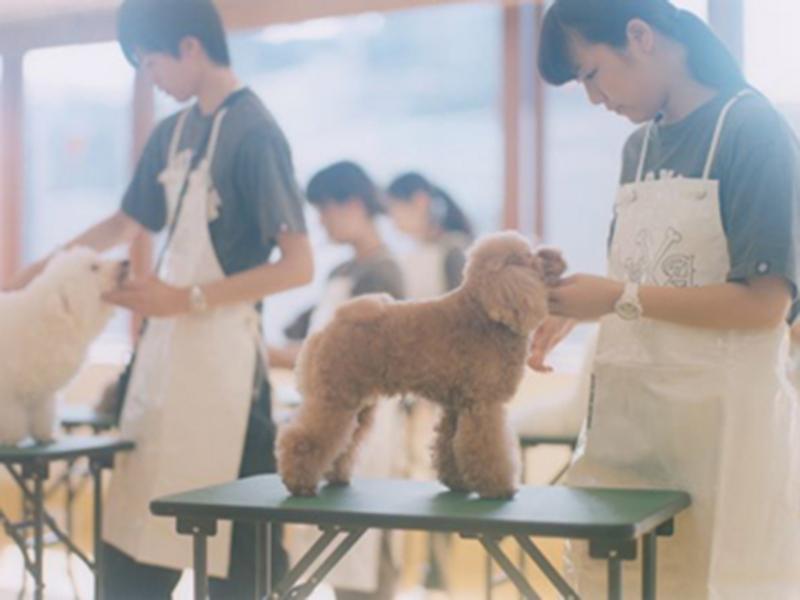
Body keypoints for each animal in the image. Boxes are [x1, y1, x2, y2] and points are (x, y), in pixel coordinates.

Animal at [0, 248, 126, 446]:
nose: (125, 263)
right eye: (94, 267)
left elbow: (43, 414)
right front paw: (9, 438)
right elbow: (10, 417)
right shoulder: (6, 393)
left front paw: (45, 435)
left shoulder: (44, 393)